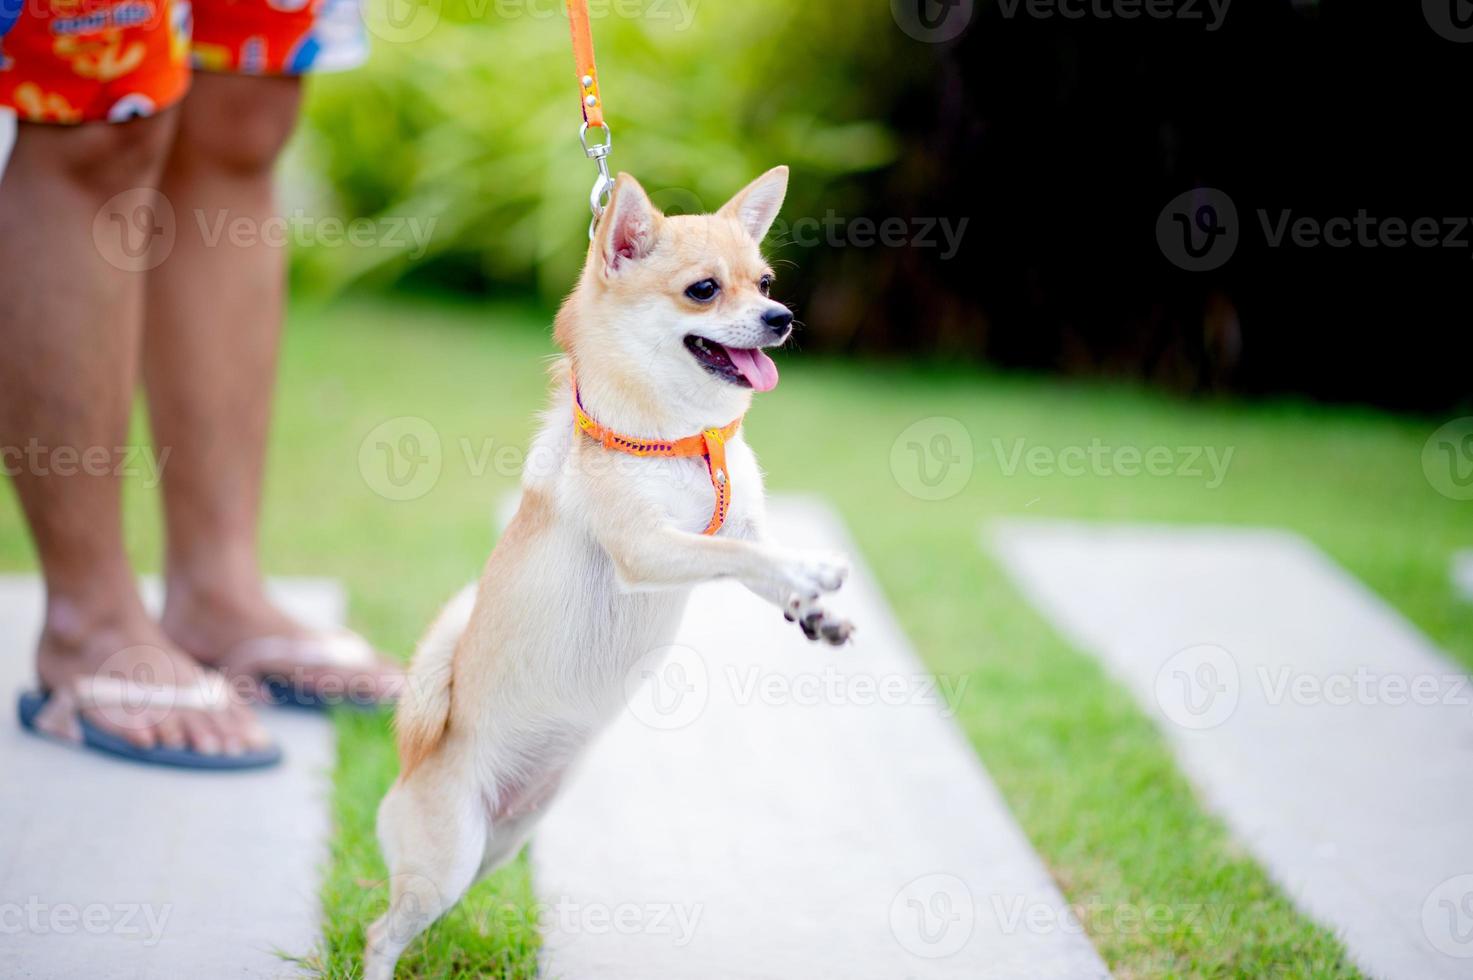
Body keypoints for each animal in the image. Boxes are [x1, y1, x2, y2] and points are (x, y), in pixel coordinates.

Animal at [359, 168, 854, 978]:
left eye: (765, 282)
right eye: (703, 291)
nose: (781, 317)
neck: (685, 435)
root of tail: (414, 763)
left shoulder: (735, 524)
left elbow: (752, 556)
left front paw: (816, 612)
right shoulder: (649, 549)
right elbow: (738, 555)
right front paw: (810, 567)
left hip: (500, 846)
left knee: (413, 919)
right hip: (449, 854)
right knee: (382, 931)